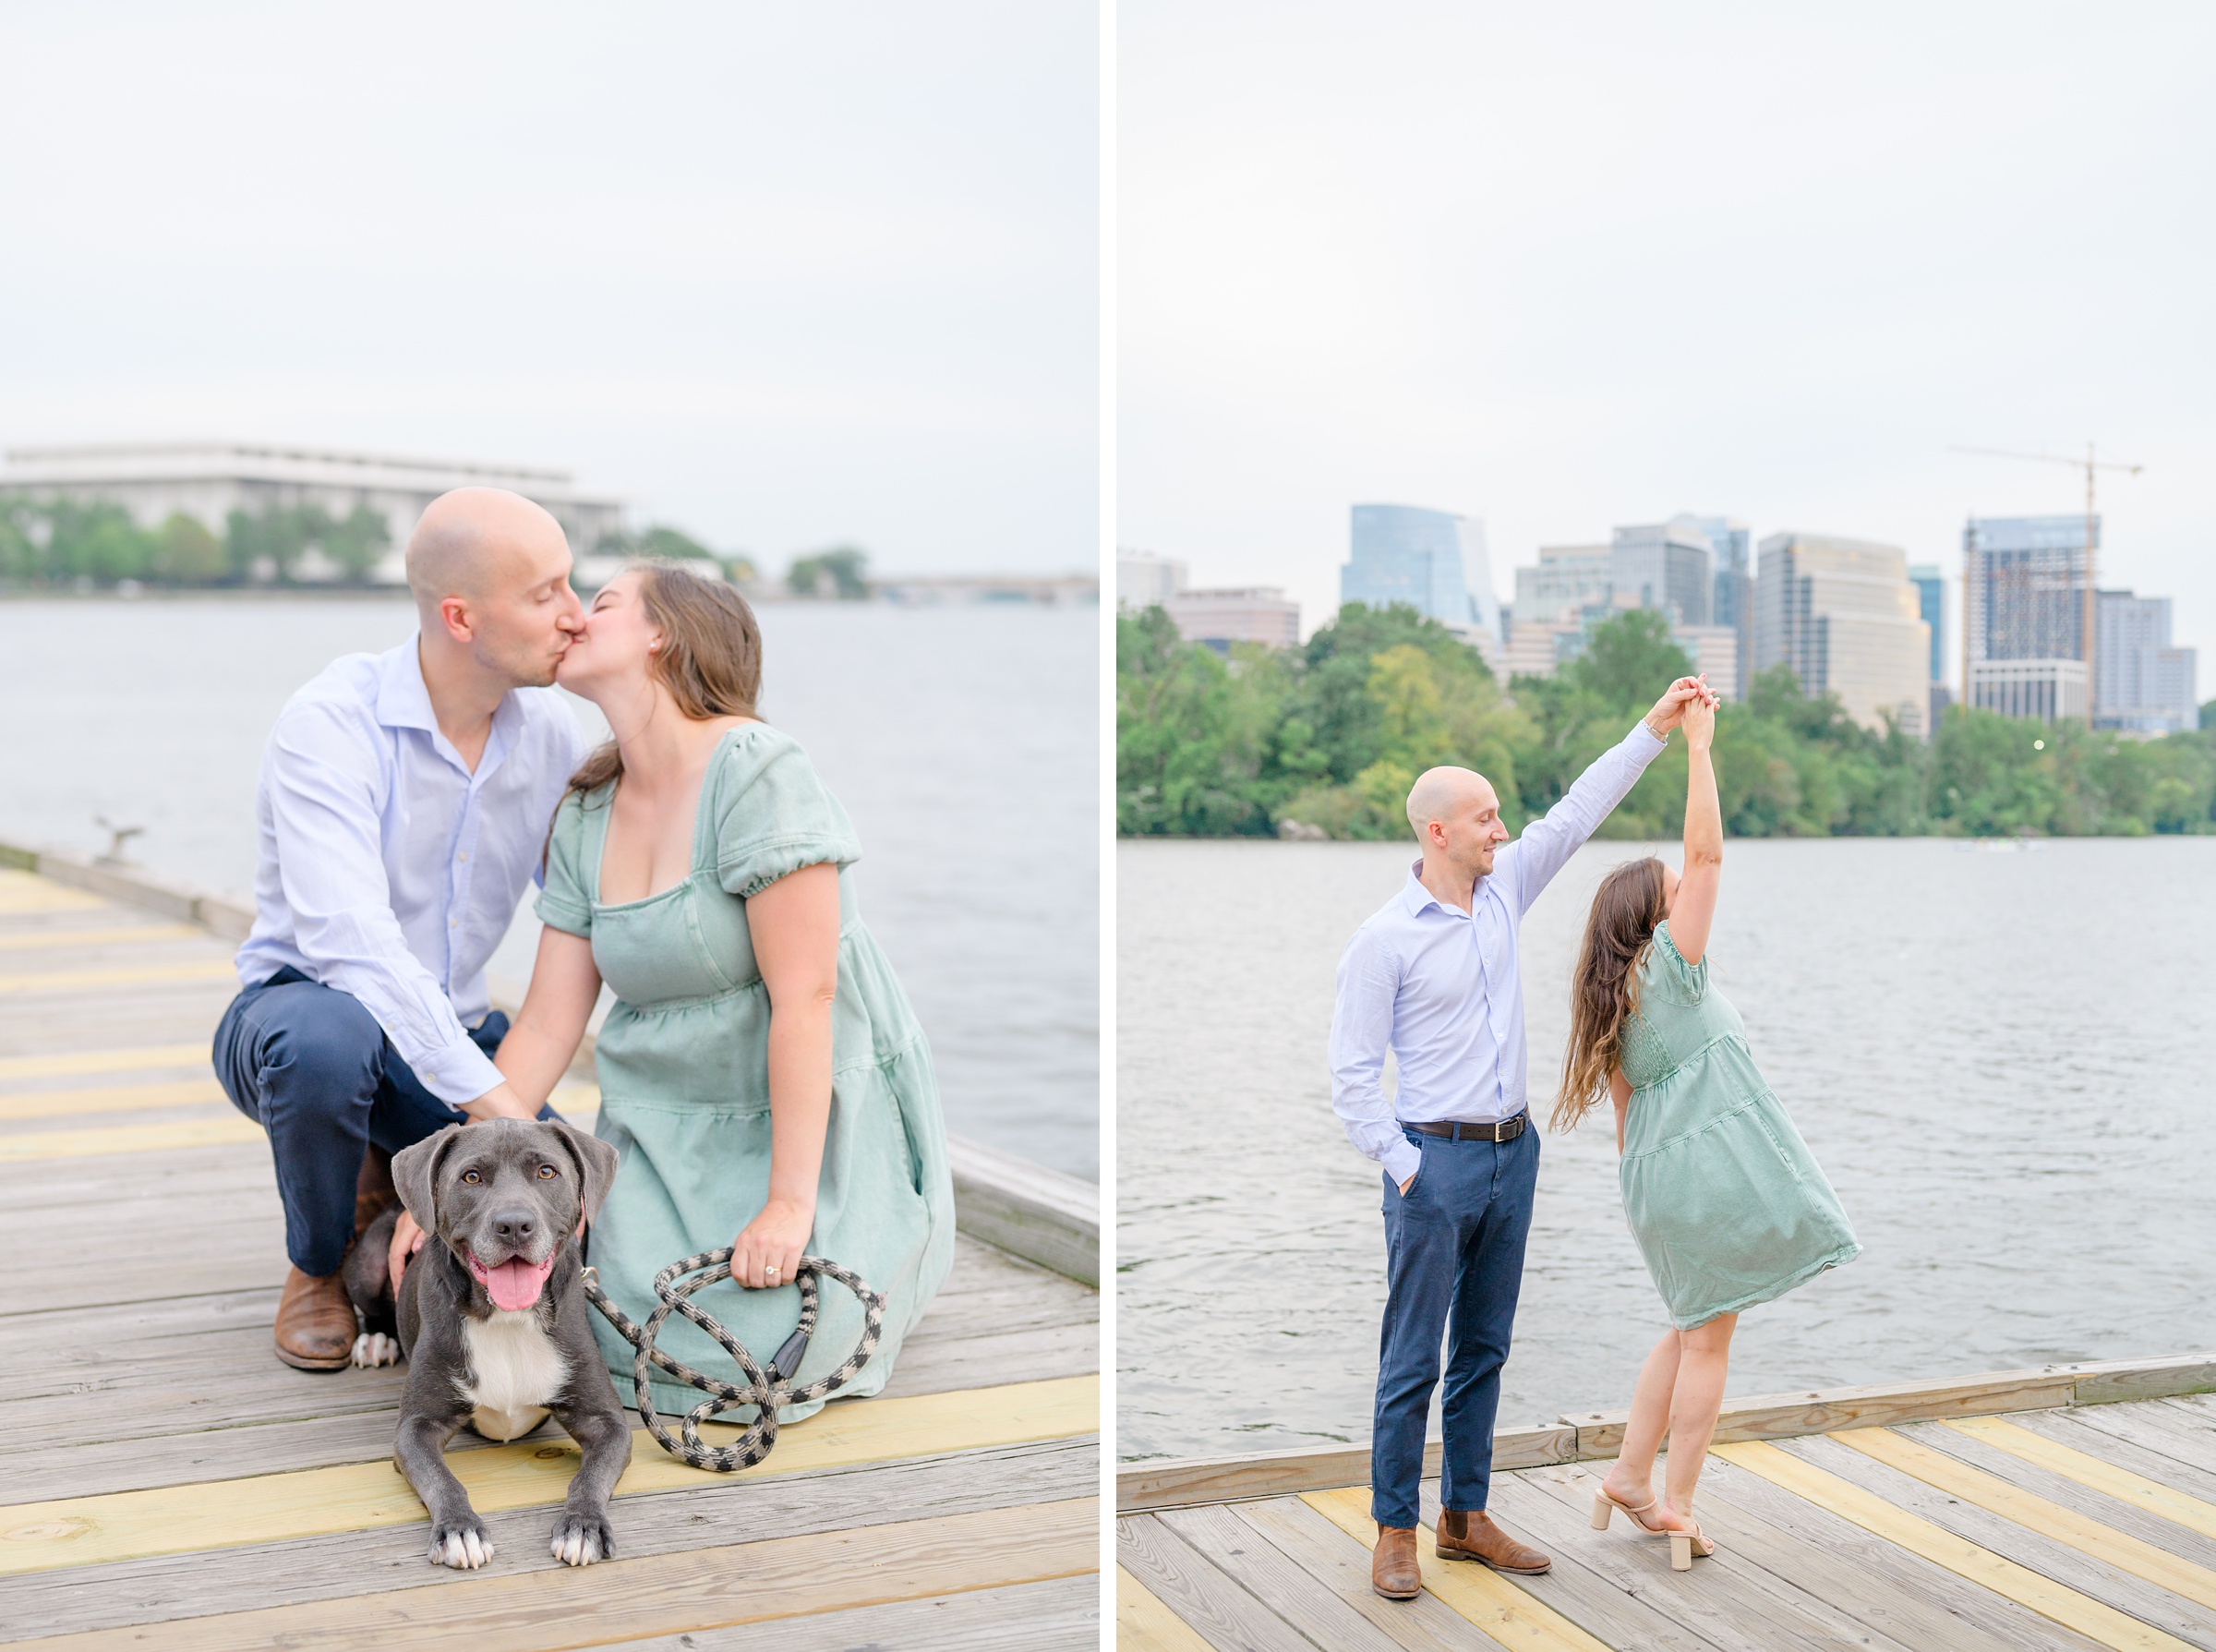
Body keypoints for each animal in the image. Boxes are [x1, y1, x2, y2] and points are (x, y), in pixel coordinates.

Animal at [355, 1113, 633, 1570]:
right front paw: (459, 1530)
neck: (508, 1319)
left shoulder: (607, 1421)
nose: (514, 1225)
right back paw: (375, 1338)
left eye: (546, 1172)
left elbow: (590, 1477)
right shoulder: (415, 1428)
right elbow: (443, 1480)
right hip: (370, 1261)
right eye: (471, 1177)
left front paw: (583, 1525)